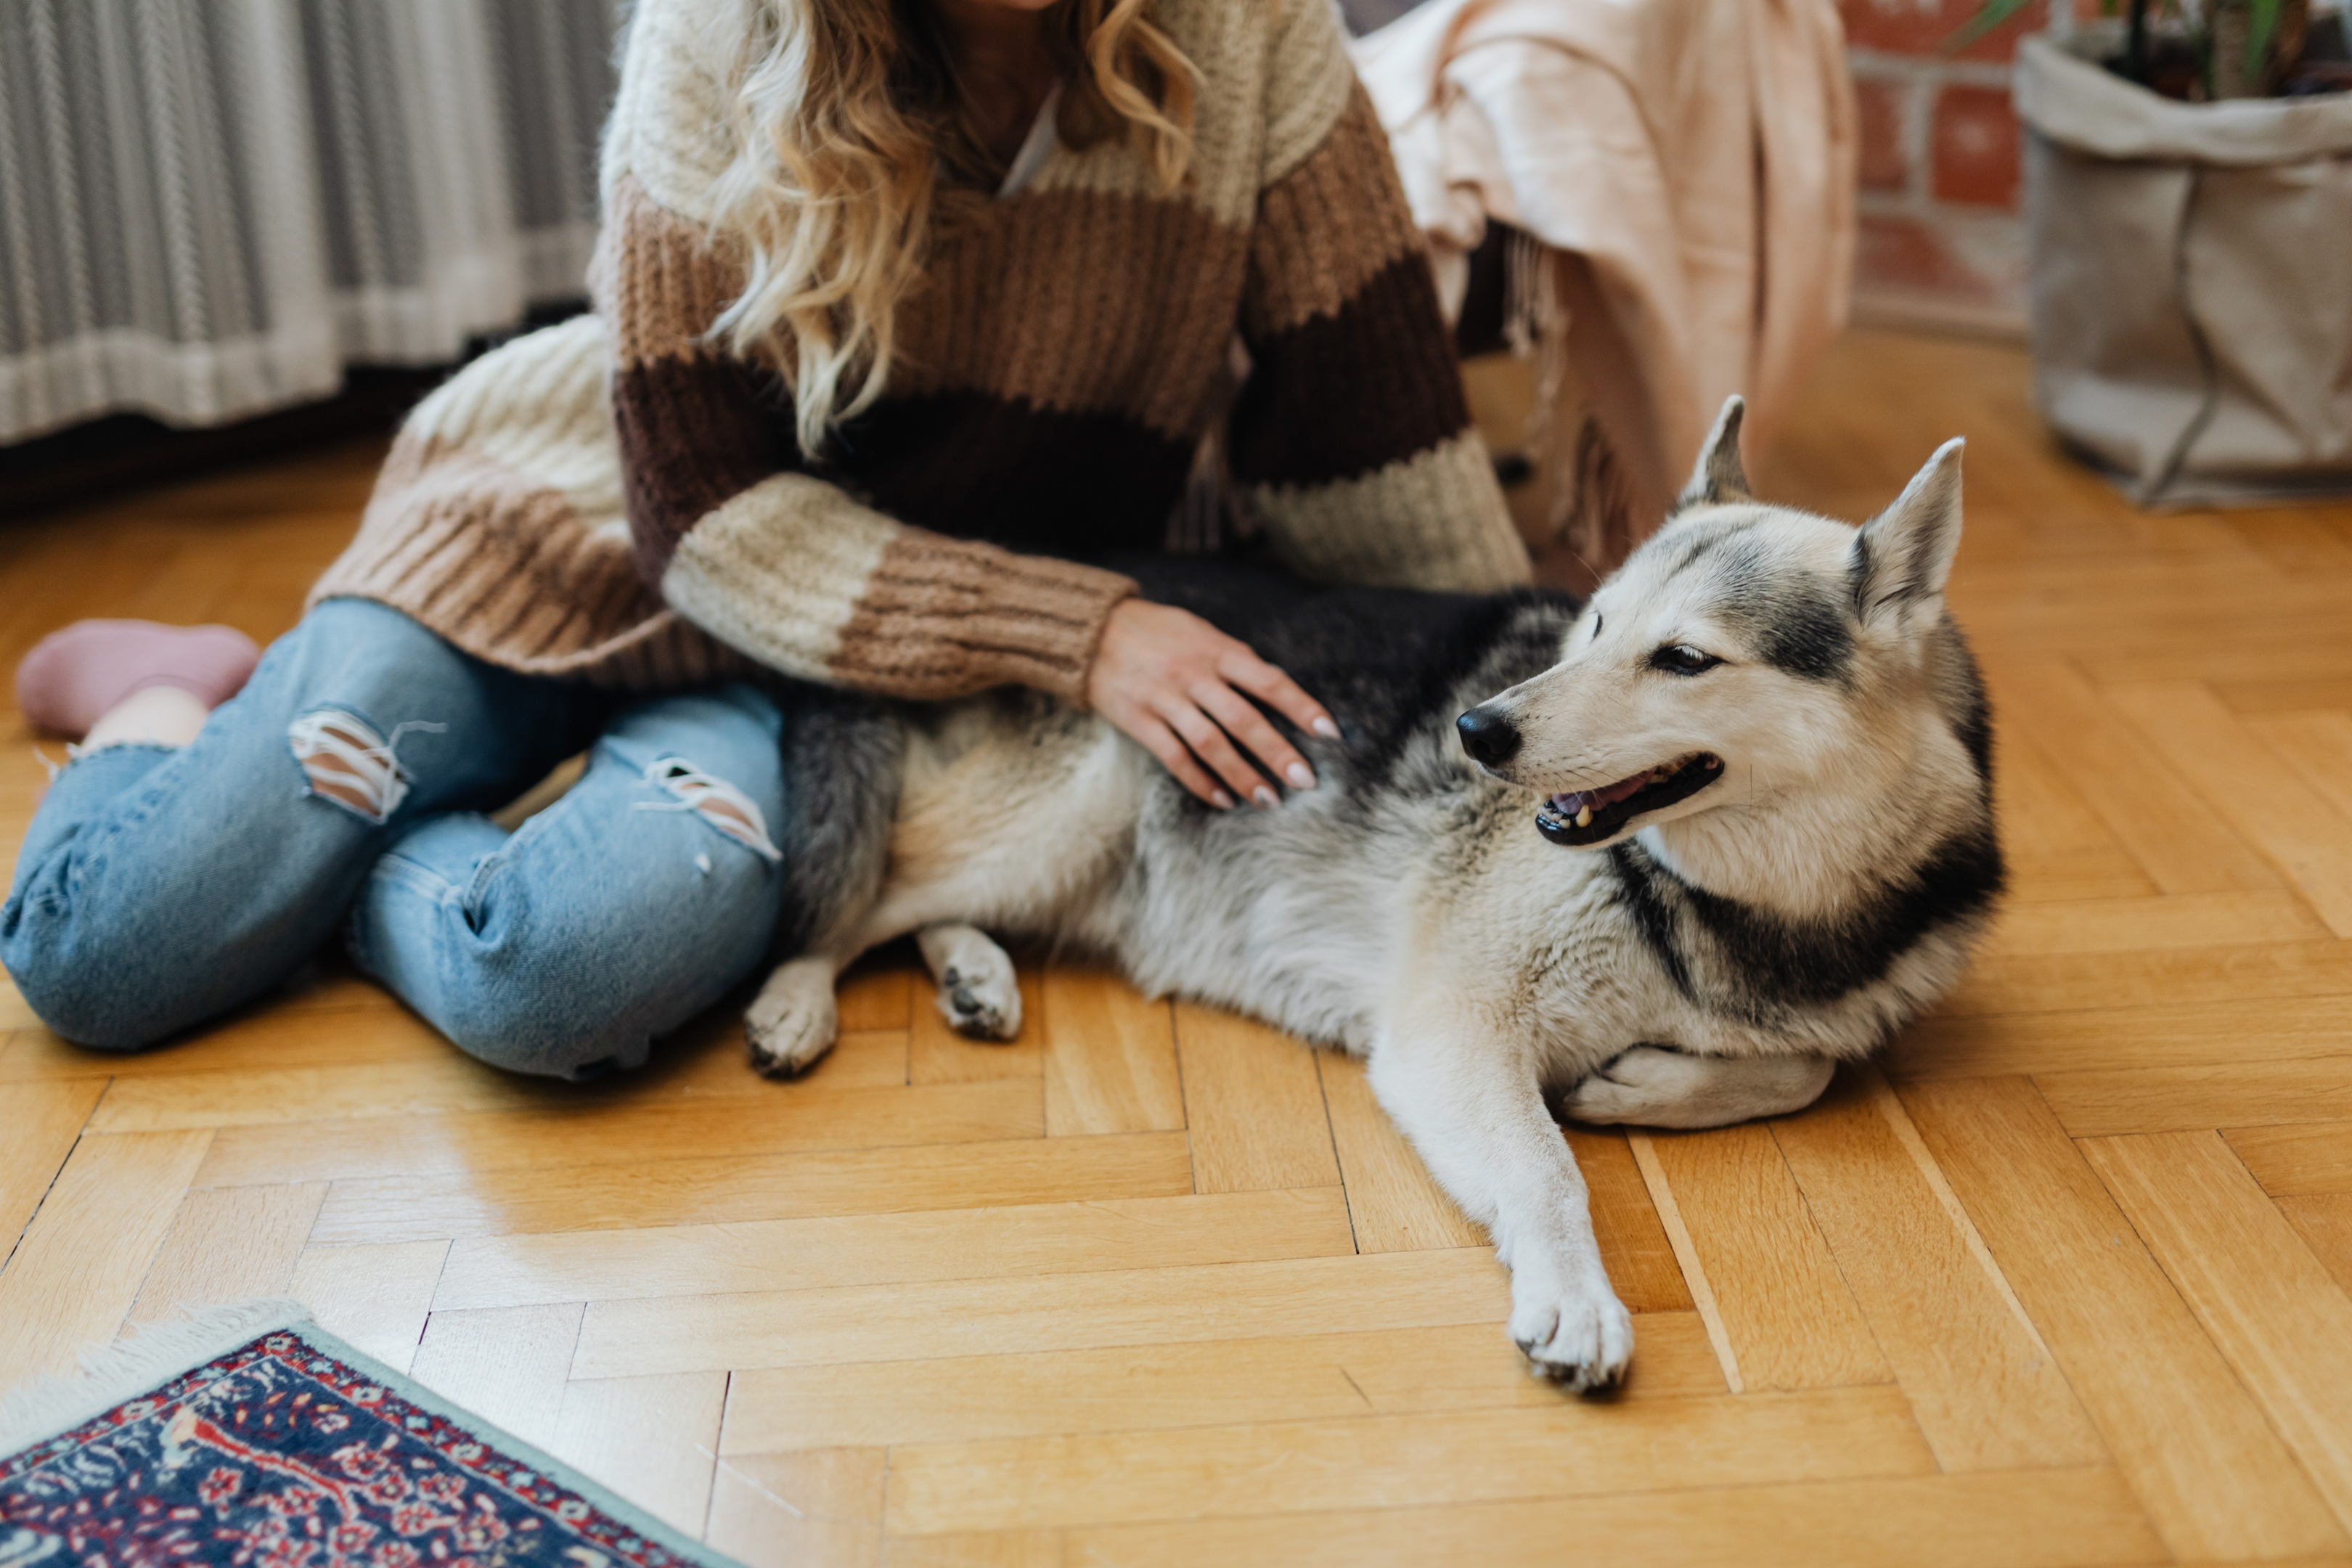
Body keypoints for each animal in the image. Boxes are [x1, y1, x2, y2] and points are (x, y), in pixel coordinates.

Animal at [743, 399, 1994, 1392]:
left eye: (1683, 660)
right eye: (1593, 625)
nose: (1476, 731)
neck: (1736, 909)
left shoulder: (1812, 1010)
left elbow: (1809, 1066)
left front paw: (1641, 1083)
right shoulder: (1452, 1031)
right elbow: (1548, 1175)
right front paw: (1576, 1293)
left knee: (920, 902)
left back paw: (973, 972)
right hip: (1065, 815)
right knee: (862, 896)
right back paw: (800, 1001)